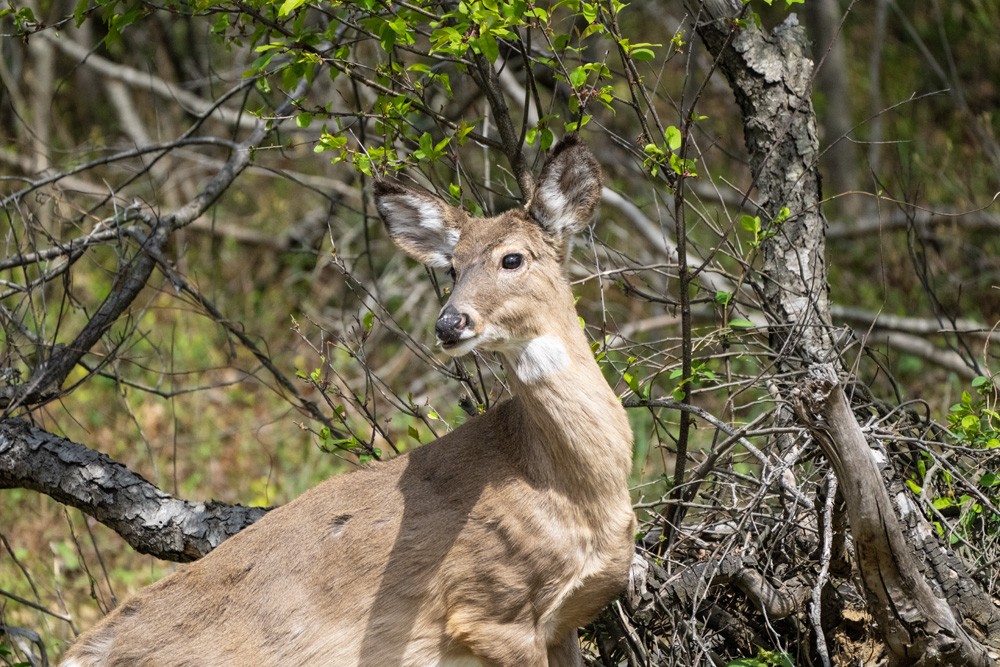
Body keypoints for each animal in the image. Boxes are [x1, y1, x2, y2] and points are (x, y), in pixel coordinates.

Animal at [62, 137, 636, 667]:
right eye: (452, 268)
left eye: (512, 259)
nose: (449, 323)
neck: (564, 484)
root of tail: (82, 654)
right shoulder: (491, 609)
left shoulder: (564, 620)